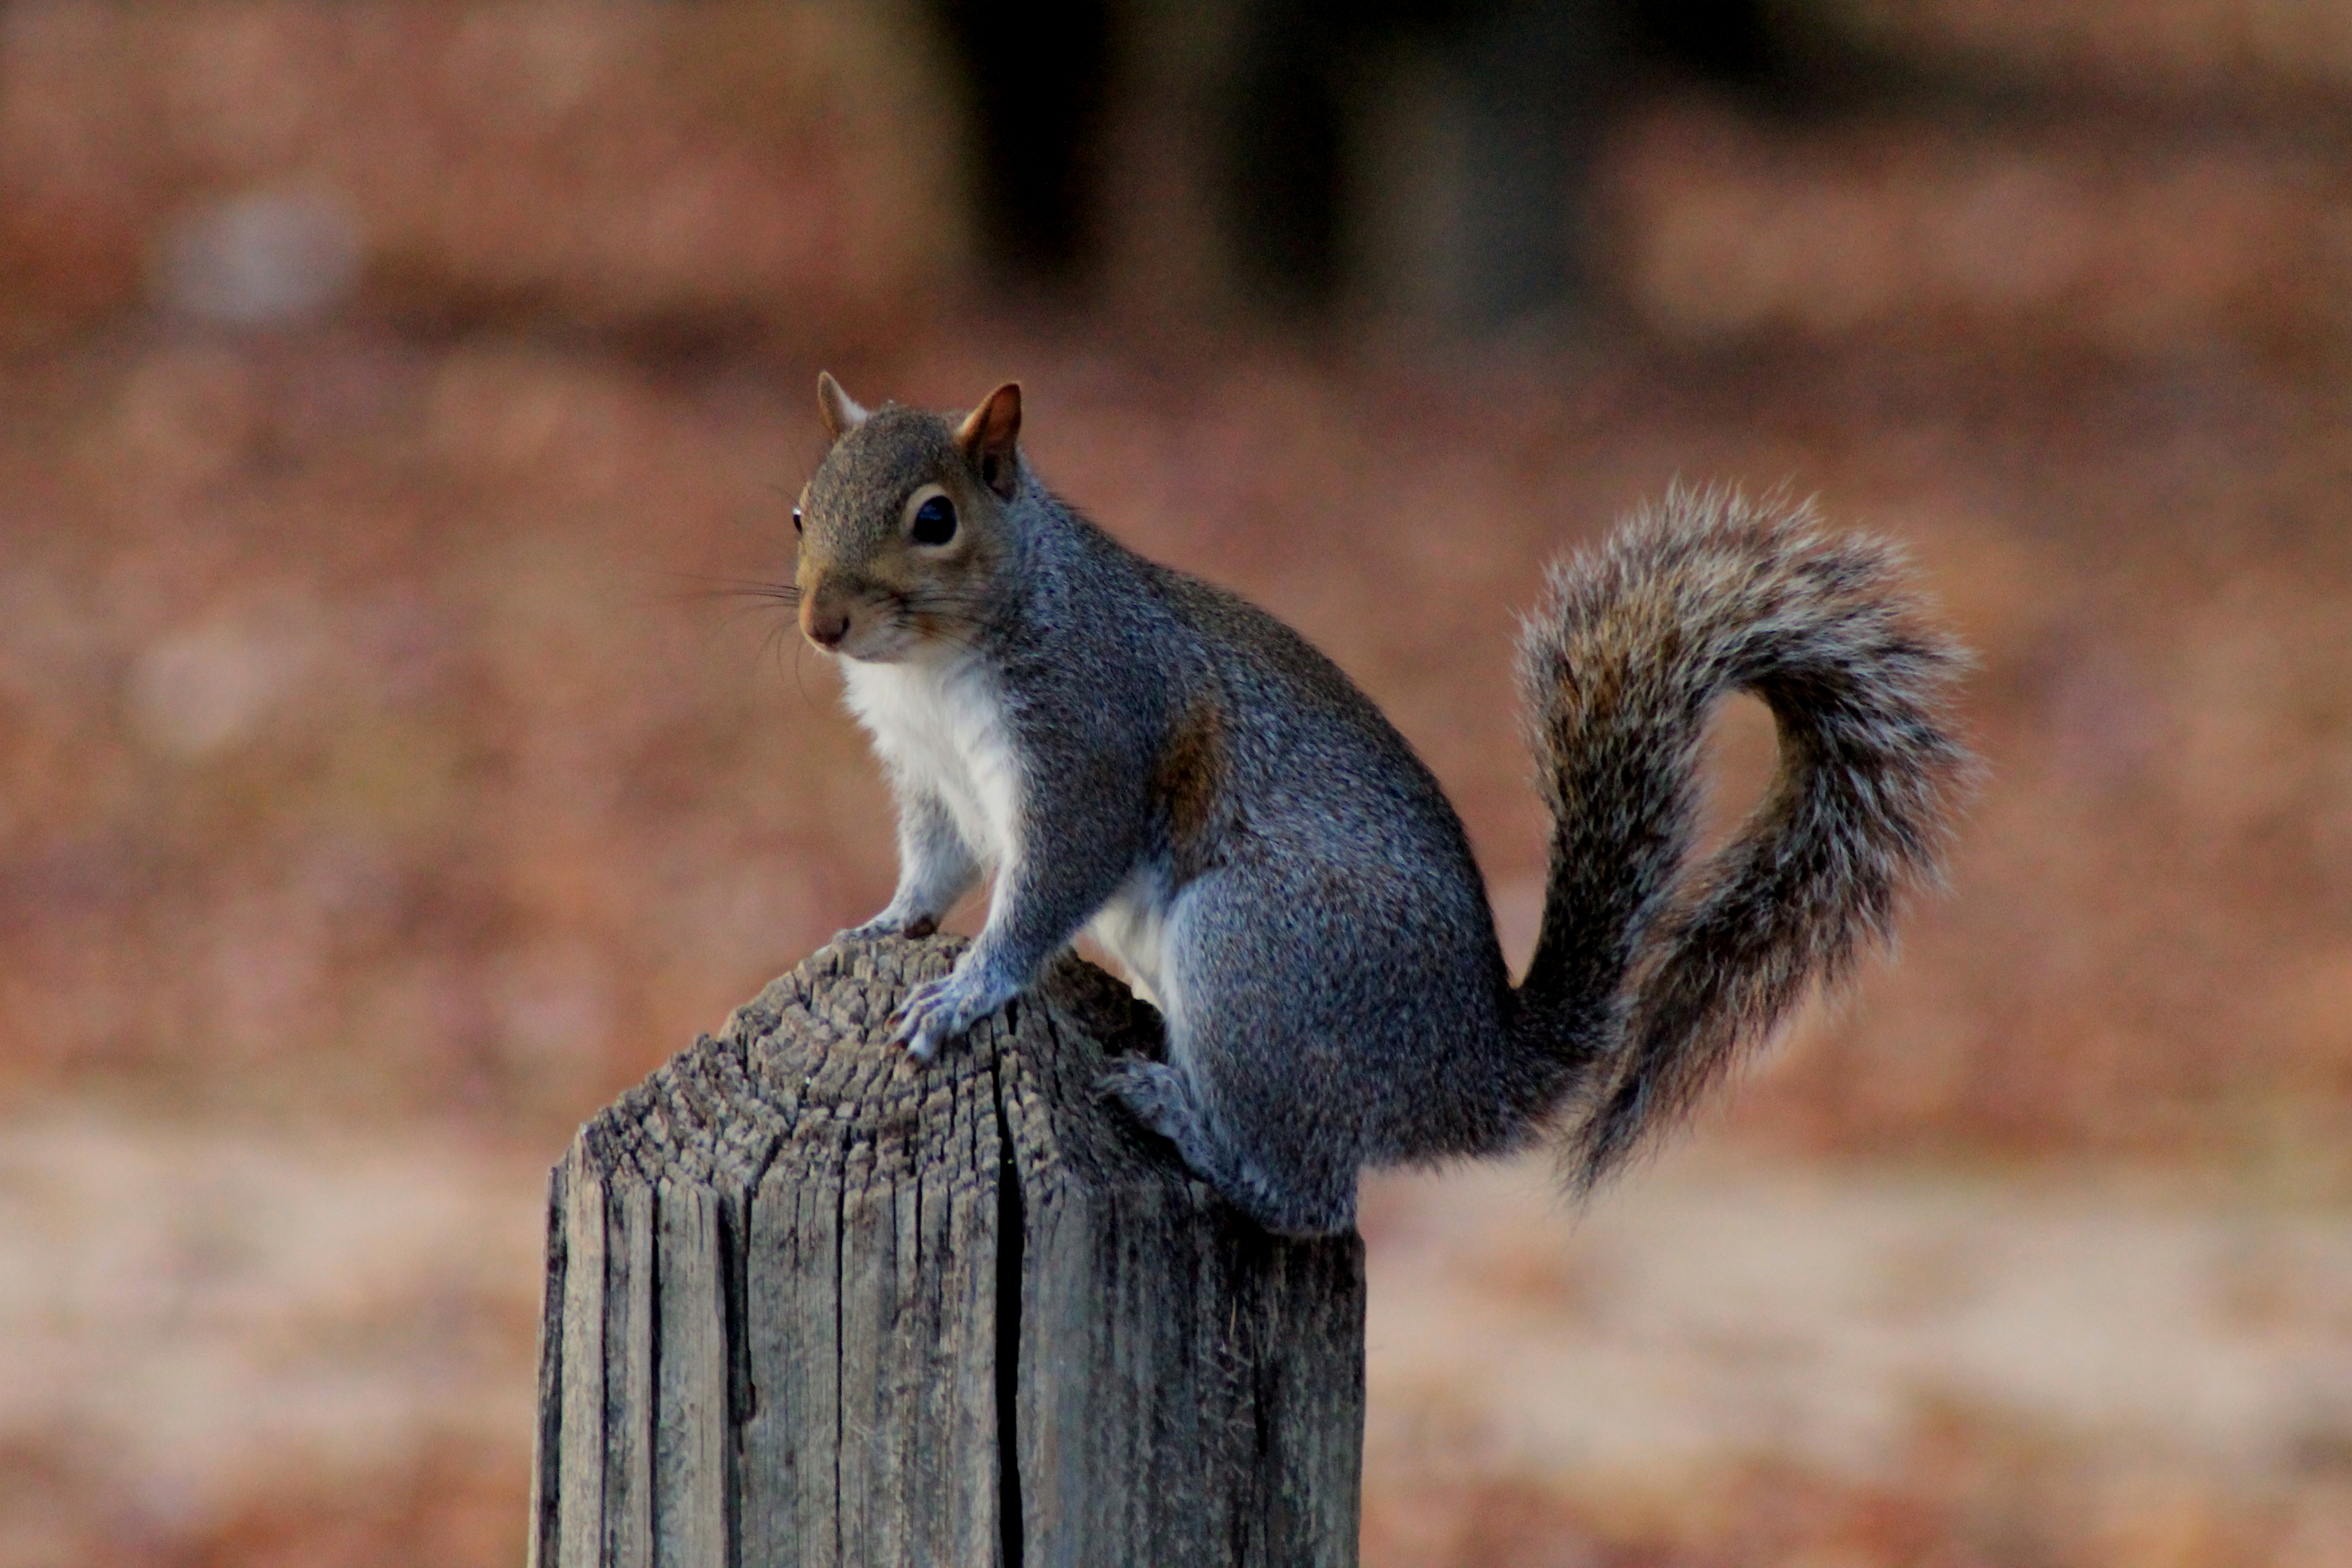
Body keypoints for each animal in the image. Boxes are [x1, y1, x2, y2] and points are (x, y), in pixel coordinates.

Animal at [790, 373, 1966, 1232]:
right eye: (799, 508)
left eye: (934, 518)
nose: (820, 624)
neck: (932, 667)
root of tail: (1465, 1070)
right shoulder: (931, 779)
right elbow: (935, 865)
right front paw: (881, 925)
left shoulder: (1090, 742)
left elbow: (1048, 886)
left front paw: (966, 989)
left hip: (1258, 956)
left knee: (1308, 1197)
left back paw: (1183, 1116)